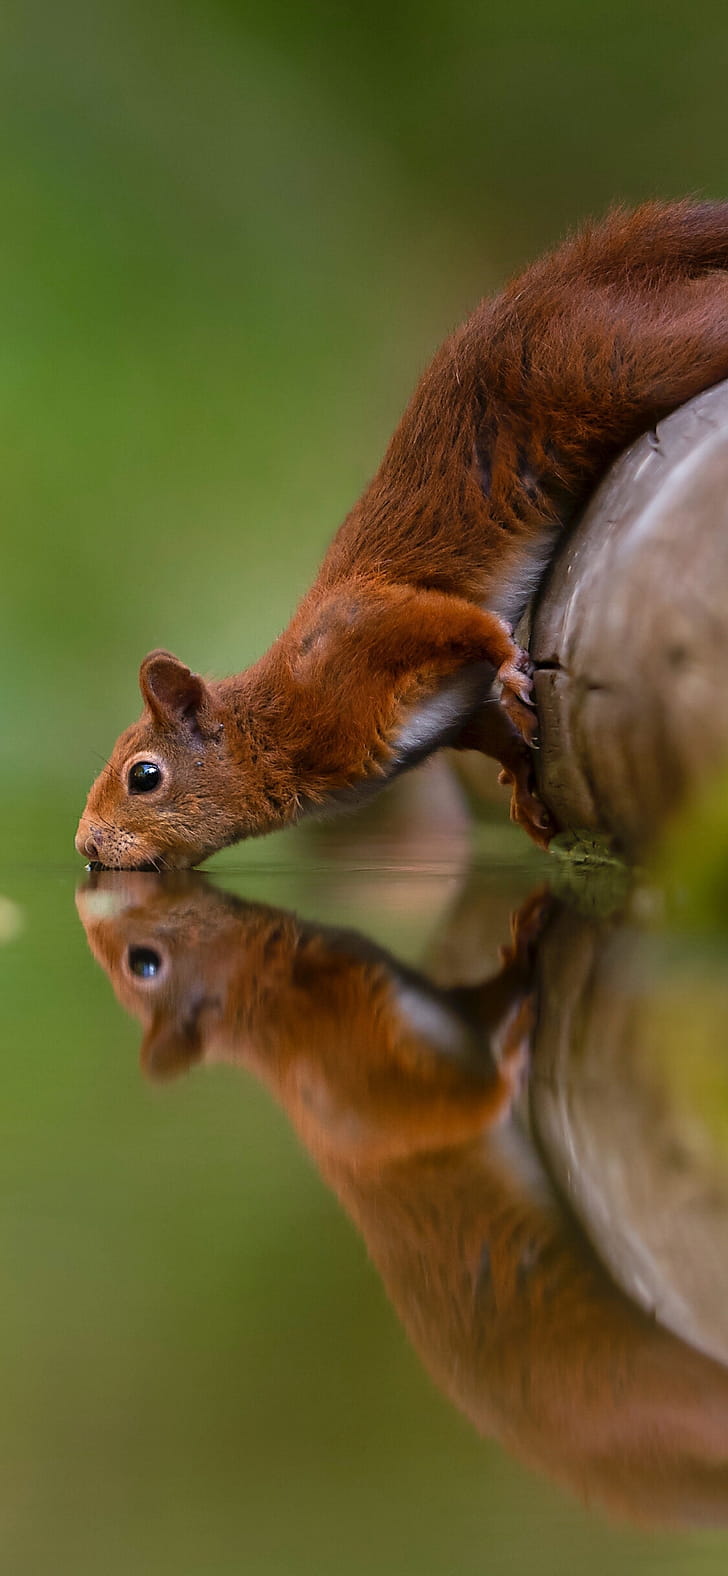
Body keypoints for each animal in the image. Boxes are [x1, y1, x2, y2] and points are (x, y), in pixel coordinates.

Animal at [76, 200, 728, 870]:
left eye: (144, 776)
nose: (85, 844)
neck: (274, 722)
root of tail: (563, 284)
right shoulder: (450, 715)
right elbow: (489, 730)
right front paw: (522, 787)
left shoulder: (364, 632)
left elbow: (455, 618)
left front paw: (510, 667)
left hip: (617, 357)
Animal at [77, 871, 728, 1524]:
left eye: (143, 963)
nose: (95, 894)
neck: (276, 1000)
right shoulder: (355, 1084)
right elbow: (447, 1115)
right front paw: (512, 1055)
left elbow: (481, 1004)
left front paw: (526, 940)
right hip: (636, 1394)